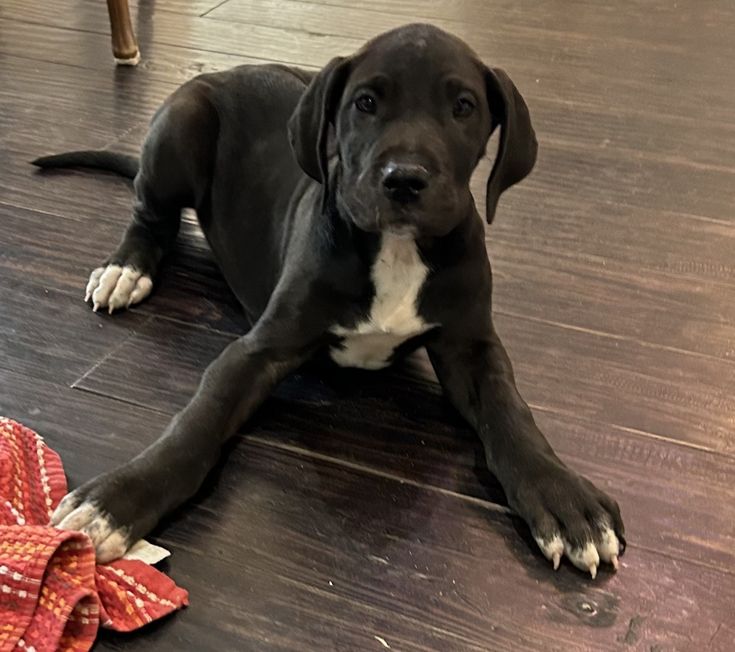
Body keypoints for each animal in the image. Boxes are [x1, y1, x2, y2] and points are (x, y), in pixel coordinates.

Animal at [33, 22, 620, 580]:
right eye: (365, 102)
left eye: (463, 106)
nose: (404, 180)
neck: (398, 248)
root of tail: (223, 73)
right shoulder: (259, 350)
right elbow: (197, 422)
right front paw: (116, 502)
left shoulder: (472, 348)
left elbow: (512, 413)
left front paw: (565, 499)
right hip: (181, 125)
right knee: (150, 215)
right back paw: (125, 270)